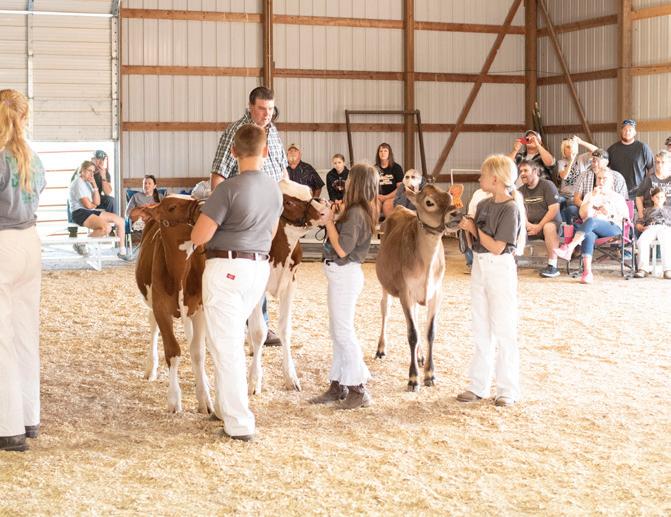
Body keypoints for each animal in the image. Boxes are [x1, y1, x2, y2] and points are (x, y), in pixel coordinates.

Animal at [135, 195, 213, 414]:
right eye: (171, 207)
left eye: (192, 197)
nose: (205, 207)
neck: (179, 274)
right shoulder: (161, 309)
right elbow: (172, 352)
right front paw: (174, 399)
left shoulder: (199, 309)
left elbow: (198, 352)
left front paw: (204, 397)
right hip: (152, 303)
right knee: (152, 326)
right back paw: (150, 367)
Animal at [247, 181, 326, 395]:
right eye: (288, 202)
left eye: (308, 190)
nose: (324, 207)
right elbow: (259, 331)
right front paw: (254, 380)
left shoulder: (290, 284)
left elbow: (285, 329)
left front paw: (290, 376)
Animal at [375, 184, 459, 391]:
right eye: (429, 202)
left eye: (449, 197)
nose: (456, 214)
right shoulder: (406, 293)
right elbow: (412, 334)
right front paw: (413, 378)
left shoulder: (436, 294)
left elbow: (430, 332)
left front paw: (430, 374)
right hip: (386, 285)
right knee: (385, 310)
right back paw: (381, 348)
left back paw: (420, 356)